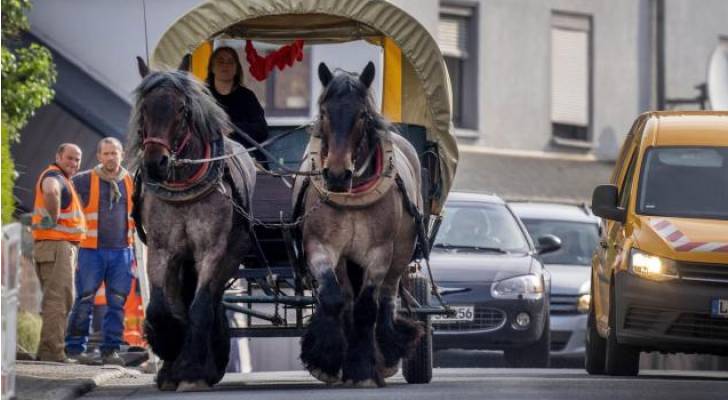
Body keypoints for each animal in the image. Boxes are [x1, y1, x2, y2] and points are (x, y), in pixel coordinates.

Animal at [131, 57, 256, 392]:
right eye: (144, 108)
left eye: (181, 110)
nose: (155, 163)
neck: (185, 187)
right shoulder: (161, 249)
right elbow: (160, 308)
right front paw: (169, 352)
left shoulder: (212, 250)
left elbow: (199, 307)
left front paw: (191, 370)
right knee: (179, 301)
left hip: (230, 255)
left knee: (210, 301)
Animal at [292, 63, 424, 388]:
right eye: (324, 111)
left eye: (362, 114)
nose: (338, 174)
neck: (351, 195)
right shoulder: (321, 247)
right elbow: (335, 298)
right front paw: (326, 358)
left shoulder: (379, 253)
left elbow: (368, 308)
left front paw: (362, 369)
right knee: (349, 300)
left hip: (401, 253)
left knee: (387, 298)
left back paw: (386, 352)